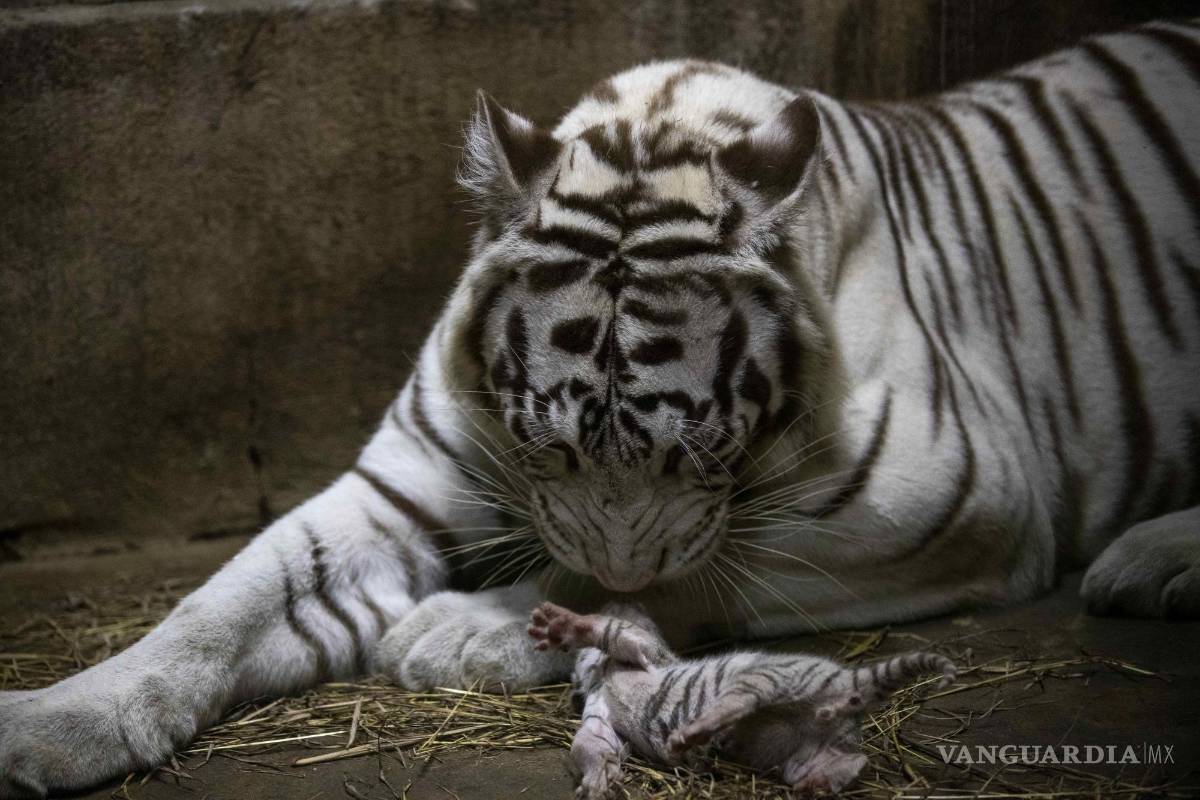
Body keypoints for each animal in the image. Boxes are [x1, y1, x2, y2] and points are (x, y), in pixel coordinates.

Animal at [2, 17, 1199, 798]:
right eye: (545, 445)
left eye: (701, 452)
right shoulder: (401, 479)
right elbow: (225, 600)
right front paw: (50, 723)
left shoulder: (958, 495)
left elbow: (693, 568)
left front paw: (460, 629)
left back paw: (1147, 562)